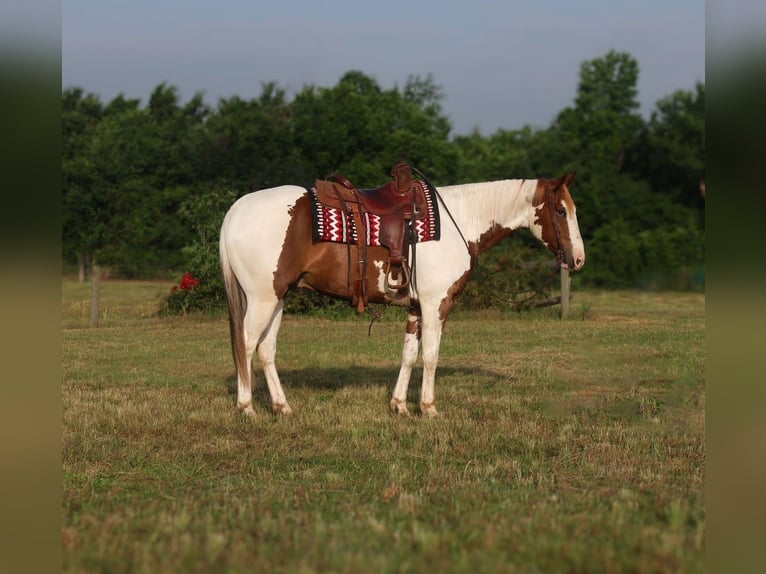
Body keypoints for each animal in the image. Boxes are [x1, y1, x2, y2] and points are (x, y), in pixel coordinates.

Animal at [219, 171, 585, 417]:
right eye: (561, 210)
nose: (578, 259)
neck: (459, 222)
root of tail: (235, 211)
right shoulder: (437, 304)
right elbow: (431, 356)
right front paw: (429, 408)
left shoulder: (416, 307)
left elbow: (409, 354)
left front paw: (399, 405)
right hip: (262, 298)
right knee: (245, 345)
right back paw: (247, 407)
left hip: (277, 297)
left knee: (266, 349)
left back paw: (282, 406)